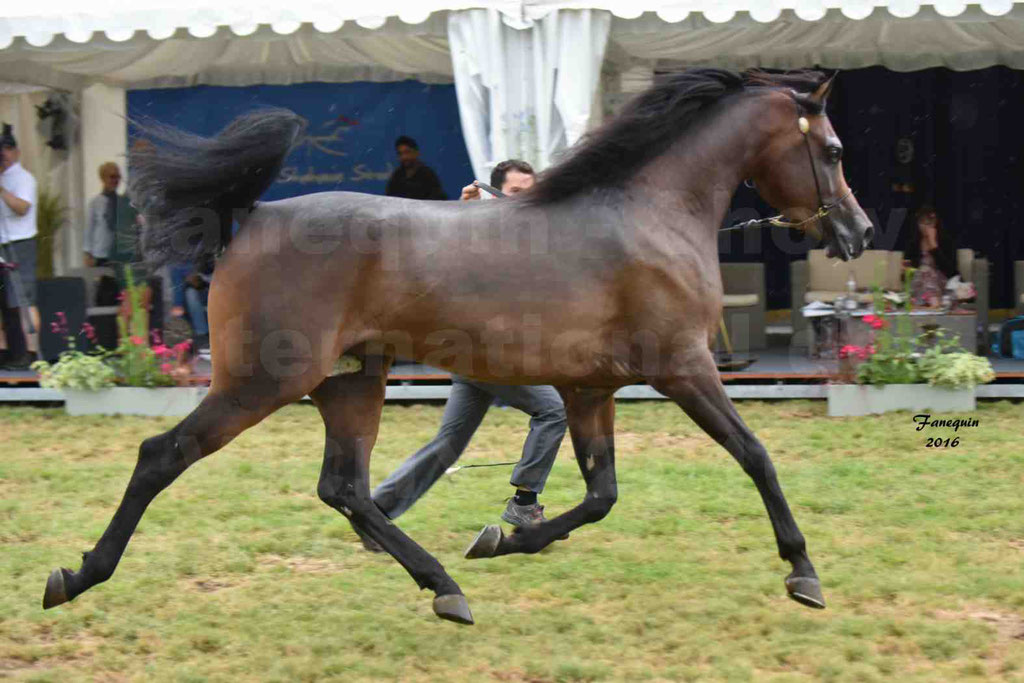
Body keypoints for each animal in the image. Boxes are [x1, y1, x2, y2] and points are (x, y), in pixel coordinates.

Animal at [41, 69, 872, 626]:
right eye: (832, 150)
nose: (859, 232)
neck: (648, 213)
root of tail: (252, 217)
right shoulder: (684, 367)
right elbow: (755, 453)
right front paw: (804, 571)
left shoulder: (589, 390)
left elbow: (599, 494)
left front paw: (501, 538)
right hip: (260, 382)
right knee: (163, 455)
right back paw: (76, 575)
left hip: (350, 383)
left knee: (345, 487)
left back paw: (443, 583)